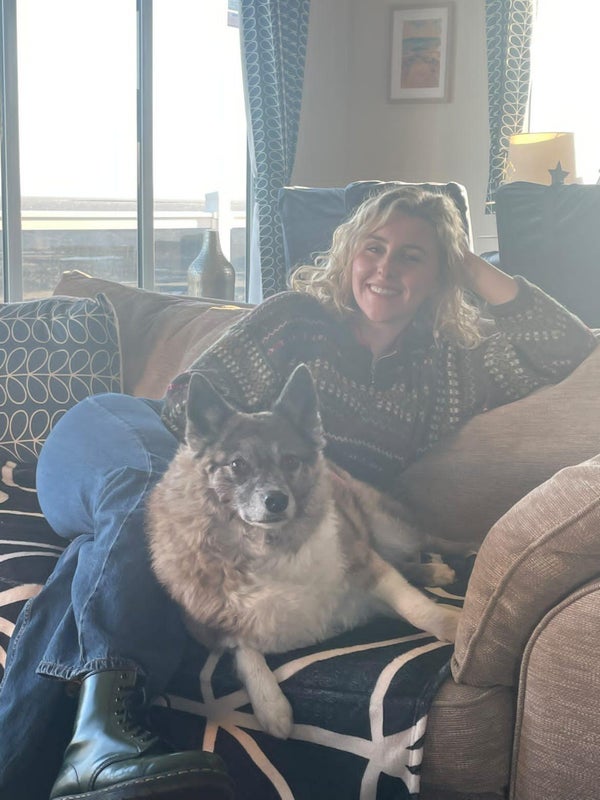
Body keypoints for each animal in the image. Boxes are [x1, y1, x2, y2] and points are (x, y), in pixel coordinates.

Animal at [147, 364, 463, 739]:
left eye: (290, 460)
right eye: (237, 465)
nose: (276, 500)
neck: (271, 543)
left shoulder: (367, 568)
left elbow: (418, 607)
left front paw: (454, 625)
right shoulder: (215, 629)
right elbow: (243, 649)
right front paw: (270, 705)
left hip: (390, 528)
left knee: (419, 547)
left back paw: (438, 568)